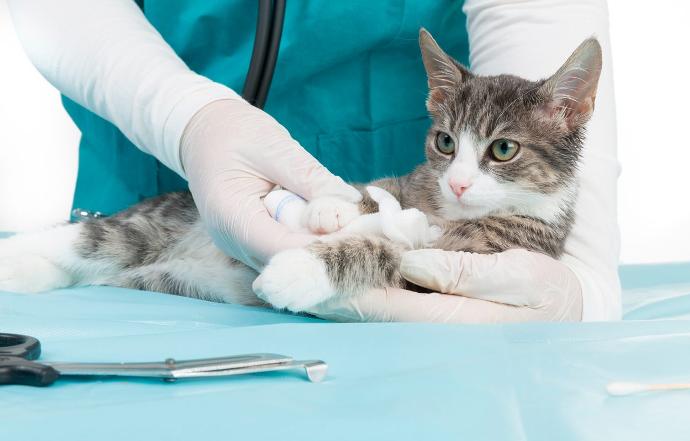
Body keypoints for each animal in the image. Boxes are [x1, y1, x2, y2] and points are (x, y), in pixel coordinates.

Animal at [0, 30, 600, 312]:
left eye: (503, 150)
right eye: (446, 142)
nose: (458, 181)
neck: (444, 209)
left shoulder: (491, 254)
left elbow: (400, 256)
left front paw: (301, 269)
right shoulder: (410, 183)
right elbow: (370, 194)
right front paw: (331, 206)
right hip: (155, 221)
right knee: (93, 236)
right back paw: (21, 255)